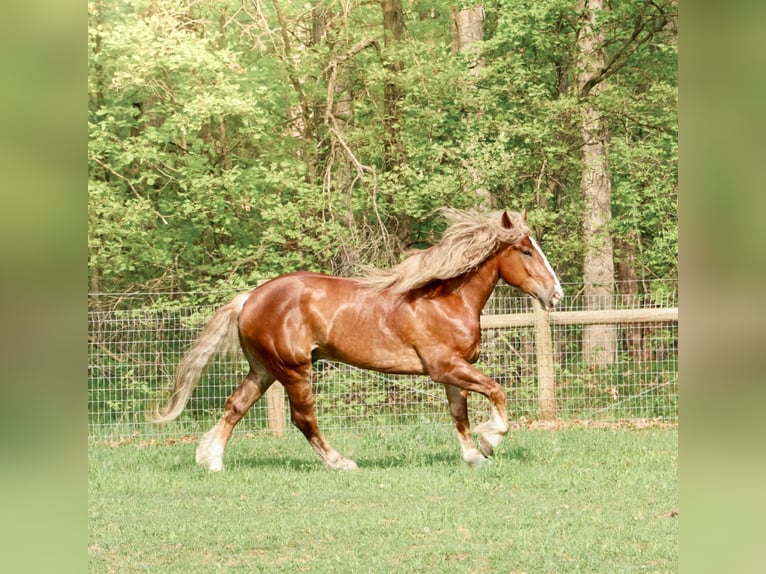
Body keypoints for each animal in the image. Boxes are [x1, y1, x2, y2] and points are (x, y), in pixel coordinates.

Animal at [149, 209, 563, 470]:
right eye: (526, 251)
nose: (556, 294)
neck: (445, 300)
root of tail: (250, 298)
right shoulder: (445, 367)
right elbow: (496, 391)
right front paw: (491, 440)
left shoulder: (453, 371)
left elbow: (459, 414)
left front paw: (474, 456)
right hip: (294, 369)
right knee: (303, 418)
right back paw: (340, 462)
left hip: (264, 369)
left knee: (235, 406)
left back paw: (212, 461)